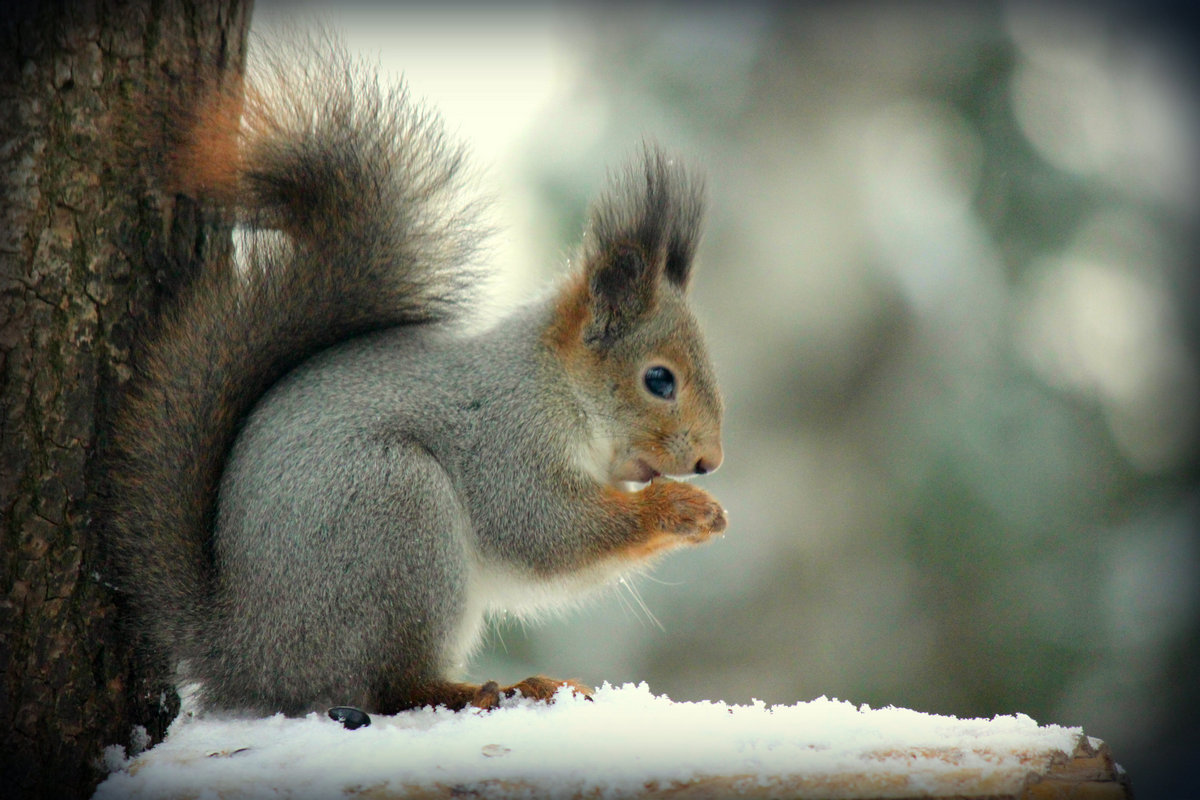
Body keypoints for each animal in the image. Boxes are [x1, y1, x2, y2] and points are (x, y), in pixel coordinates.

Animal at [108, 34, 724, 714]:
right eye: (659, 380)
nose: (709, 461)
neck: (556, 386)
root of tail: (247, 654)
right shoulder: (506, 442)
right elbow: (547, 529)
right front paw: (681, 509)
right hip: (397, 515)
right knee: (392, 687)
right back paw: (499, 688)